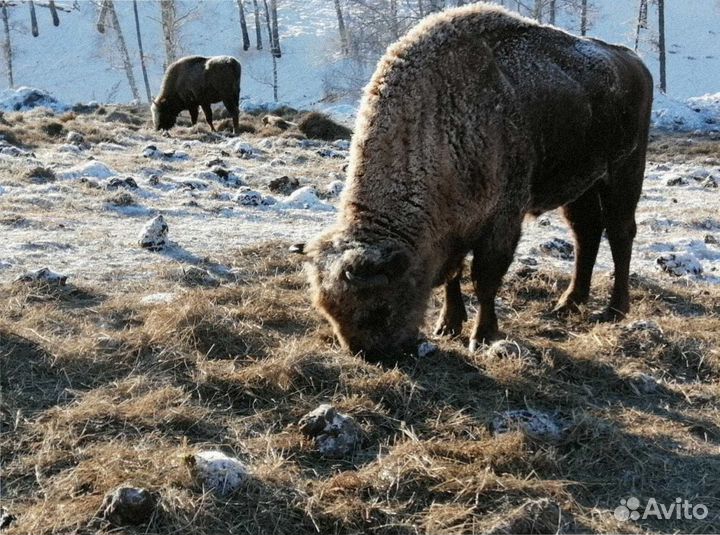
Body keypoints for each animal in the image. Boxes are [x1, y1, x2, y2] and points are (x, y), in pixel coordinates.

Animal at [296, 3, 652, 360]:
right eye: (328, 310)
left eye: (379, 309)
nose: (372, 355)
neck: (437, 126)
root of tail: (635, 63)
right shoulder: (454, 229)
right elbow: (453, 275)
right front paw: (447, 325)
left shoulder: (502, 220)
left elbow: (484, 279)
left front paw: (481, 336)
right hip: (581, 186)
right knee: (586, 233)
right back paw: (568, 303)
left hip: (624, 172)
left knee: (620, 232)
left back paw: (614, 309)